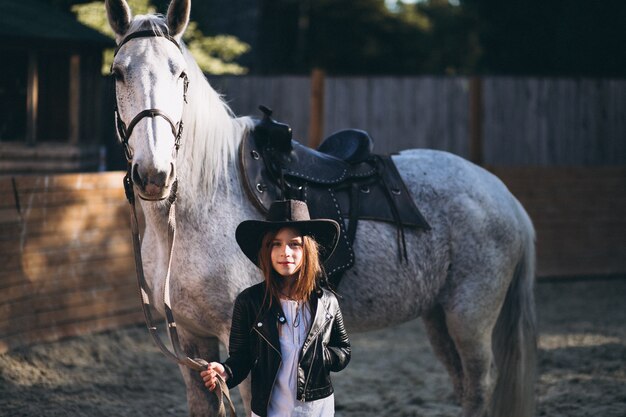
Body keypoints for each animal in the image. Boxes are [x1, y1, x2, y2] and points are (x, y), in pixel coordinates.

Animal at [105, 0, 532, 416]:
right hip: (439, 317)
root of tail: (504, 196)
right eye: (117, 74)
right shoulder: (194, 344)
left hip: (469, 318)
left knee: (479, 386)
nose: (155, 174)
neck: (199, 207)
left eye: (179, 74)